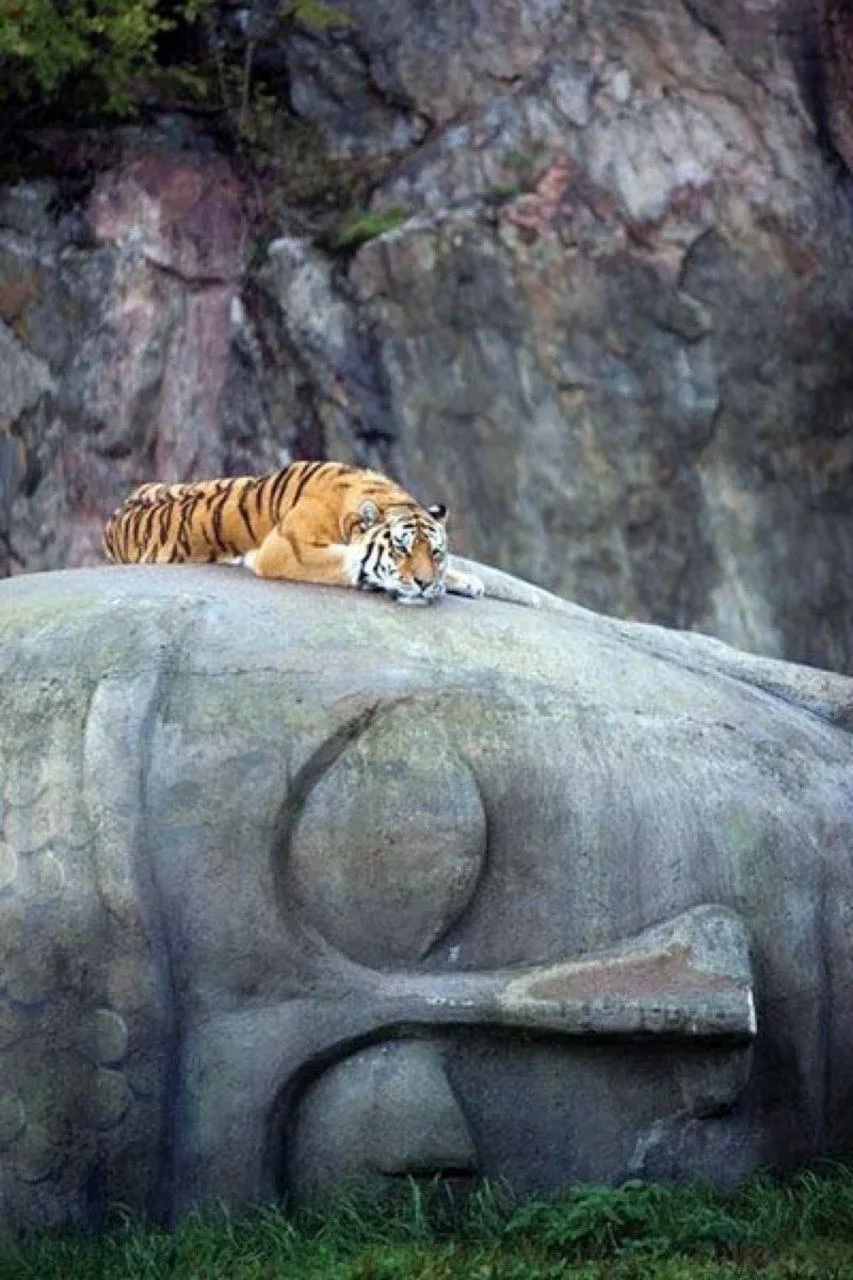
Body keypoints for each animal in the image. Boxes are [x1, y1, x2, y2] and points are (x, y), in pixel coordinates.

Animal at [102, 461, 485, 605]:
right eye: (400, 549)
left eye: (435, 552)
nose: (423, 583)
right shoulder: (288, 548)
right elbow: (350, 560)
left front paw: (464, 581)